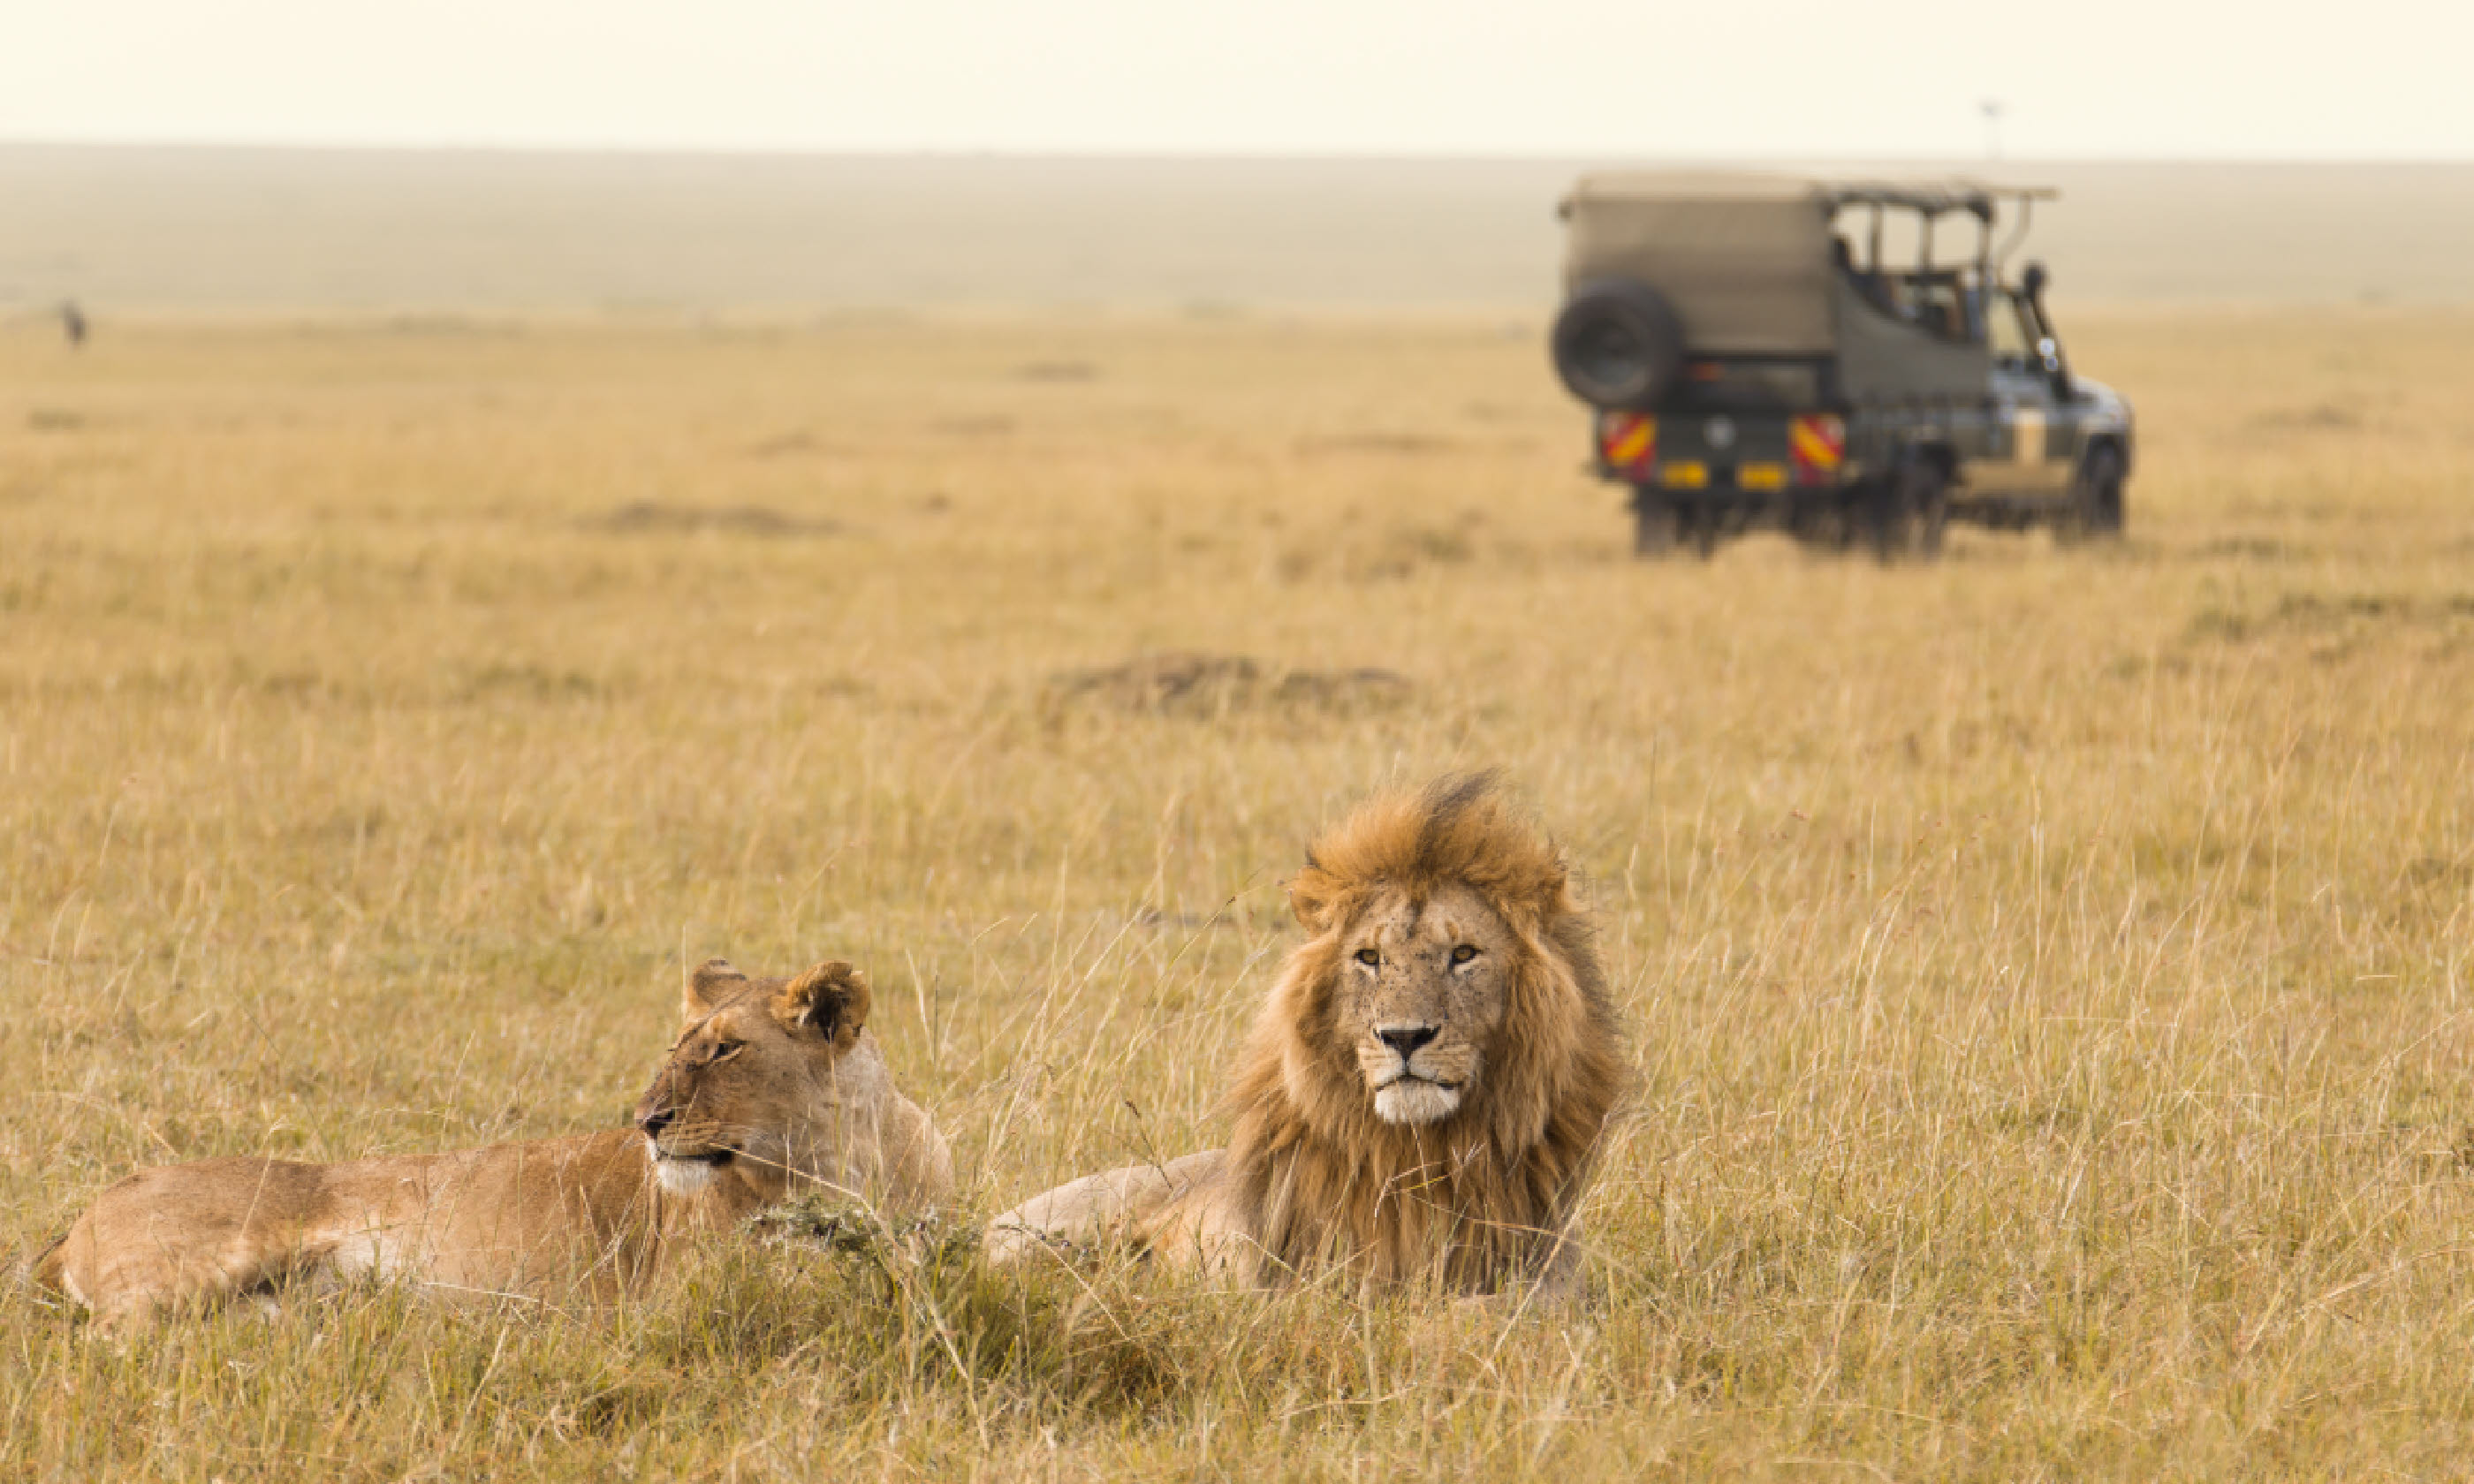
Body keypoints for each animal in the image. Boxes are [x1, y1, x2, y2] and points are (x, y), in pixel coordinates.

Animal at [34, 954, 950, 1325]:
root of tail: (76, 1220)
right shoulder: (685, 1293)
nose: (647, 1121)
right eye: (680, 1045)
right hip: (190, 1268)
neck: (844, 1162)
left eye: (725, 1050)